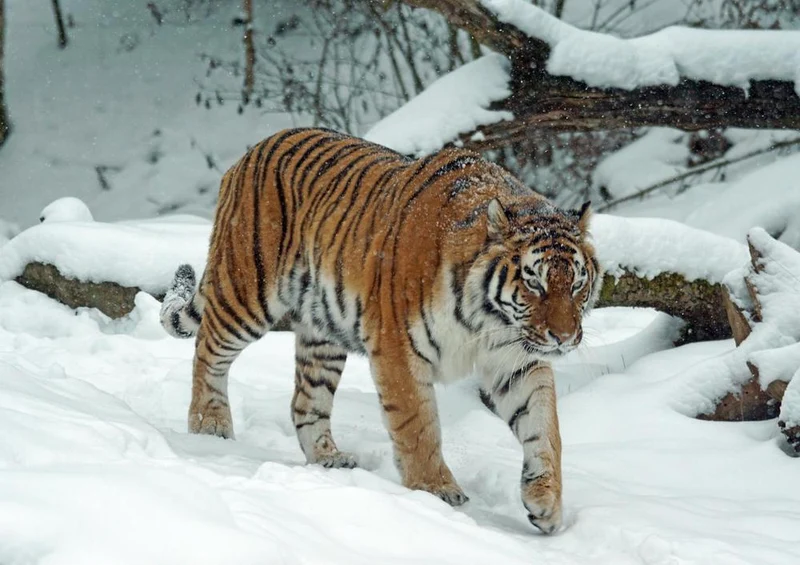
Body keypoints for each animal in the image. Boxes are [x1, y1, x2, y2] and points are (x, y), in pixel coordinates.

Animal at [159, 127, 601, 534]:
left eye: (577, 283)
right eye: (534, 283)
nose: (564, 338)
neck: (489, 321)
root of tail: (252, 150)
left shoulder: (517, 359)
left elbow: (544, 426)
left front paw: (546, 502)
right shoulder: (398, 349)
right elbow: (418, 426)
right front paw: (436, 491)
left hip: (322, 333)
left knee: (305, 401)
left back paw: (329, 459)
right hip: (247, 291)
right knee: (208, 351)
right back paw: (209, 426)